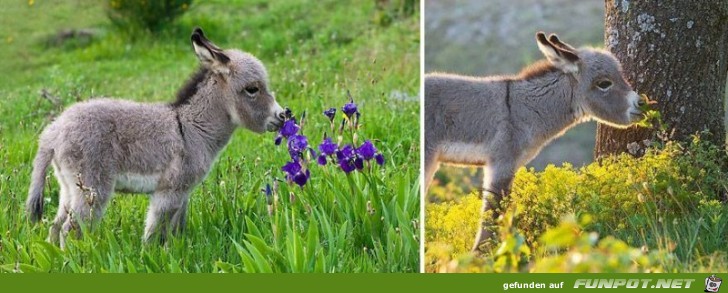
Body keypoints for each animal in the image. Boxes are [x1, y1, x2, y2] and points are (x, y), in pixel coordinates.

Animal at [25, 27, 288, 248]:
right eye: (252, 89)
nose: (284, 116)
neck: (191, 128)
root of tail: (53, 131)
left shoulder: (183, 193)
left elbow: (176, 230)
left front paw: (176, 252)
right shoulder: (168, 192)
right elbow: (154, 233)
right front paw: (149, 256)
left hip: (68, 187)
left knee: (55, 227)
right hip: (92, 187)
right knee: (70, 230)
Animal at [424, 32, 644, 251]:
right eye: (604, 83)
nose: (642, 103)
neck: (521, 109)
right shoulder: (502, 162)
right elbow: (492, 212)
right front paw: (482, 254)